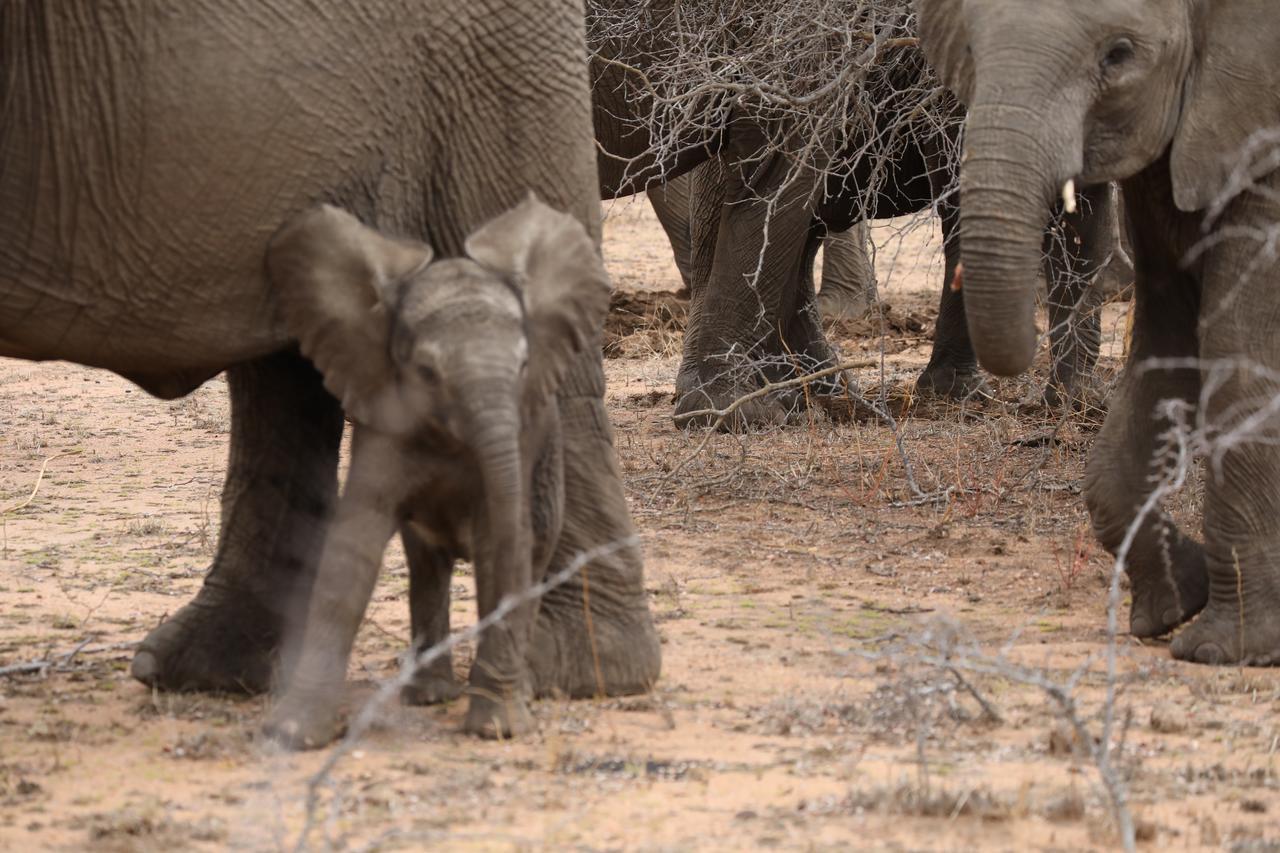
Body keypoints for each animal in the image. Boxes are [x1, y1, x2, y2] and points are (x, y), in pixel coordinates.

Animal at [259, 195, 609, 747]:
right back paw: (430, 696)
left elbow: (503, 552)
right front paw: (294, 733)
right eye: (425, 373)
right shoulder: (384, 426)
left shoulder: (521, 438)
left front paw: (498, 729)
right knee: (427, 564)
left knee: (529, 555)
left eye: (524, 365)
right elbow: (351, 550)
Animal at [916, 0, 1280, 666]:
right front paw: (1172, 605)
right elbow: (1165, 356)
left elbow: (1240, 359)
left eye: (1118, 55)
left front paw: (1224, 649)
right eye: (972, 53)